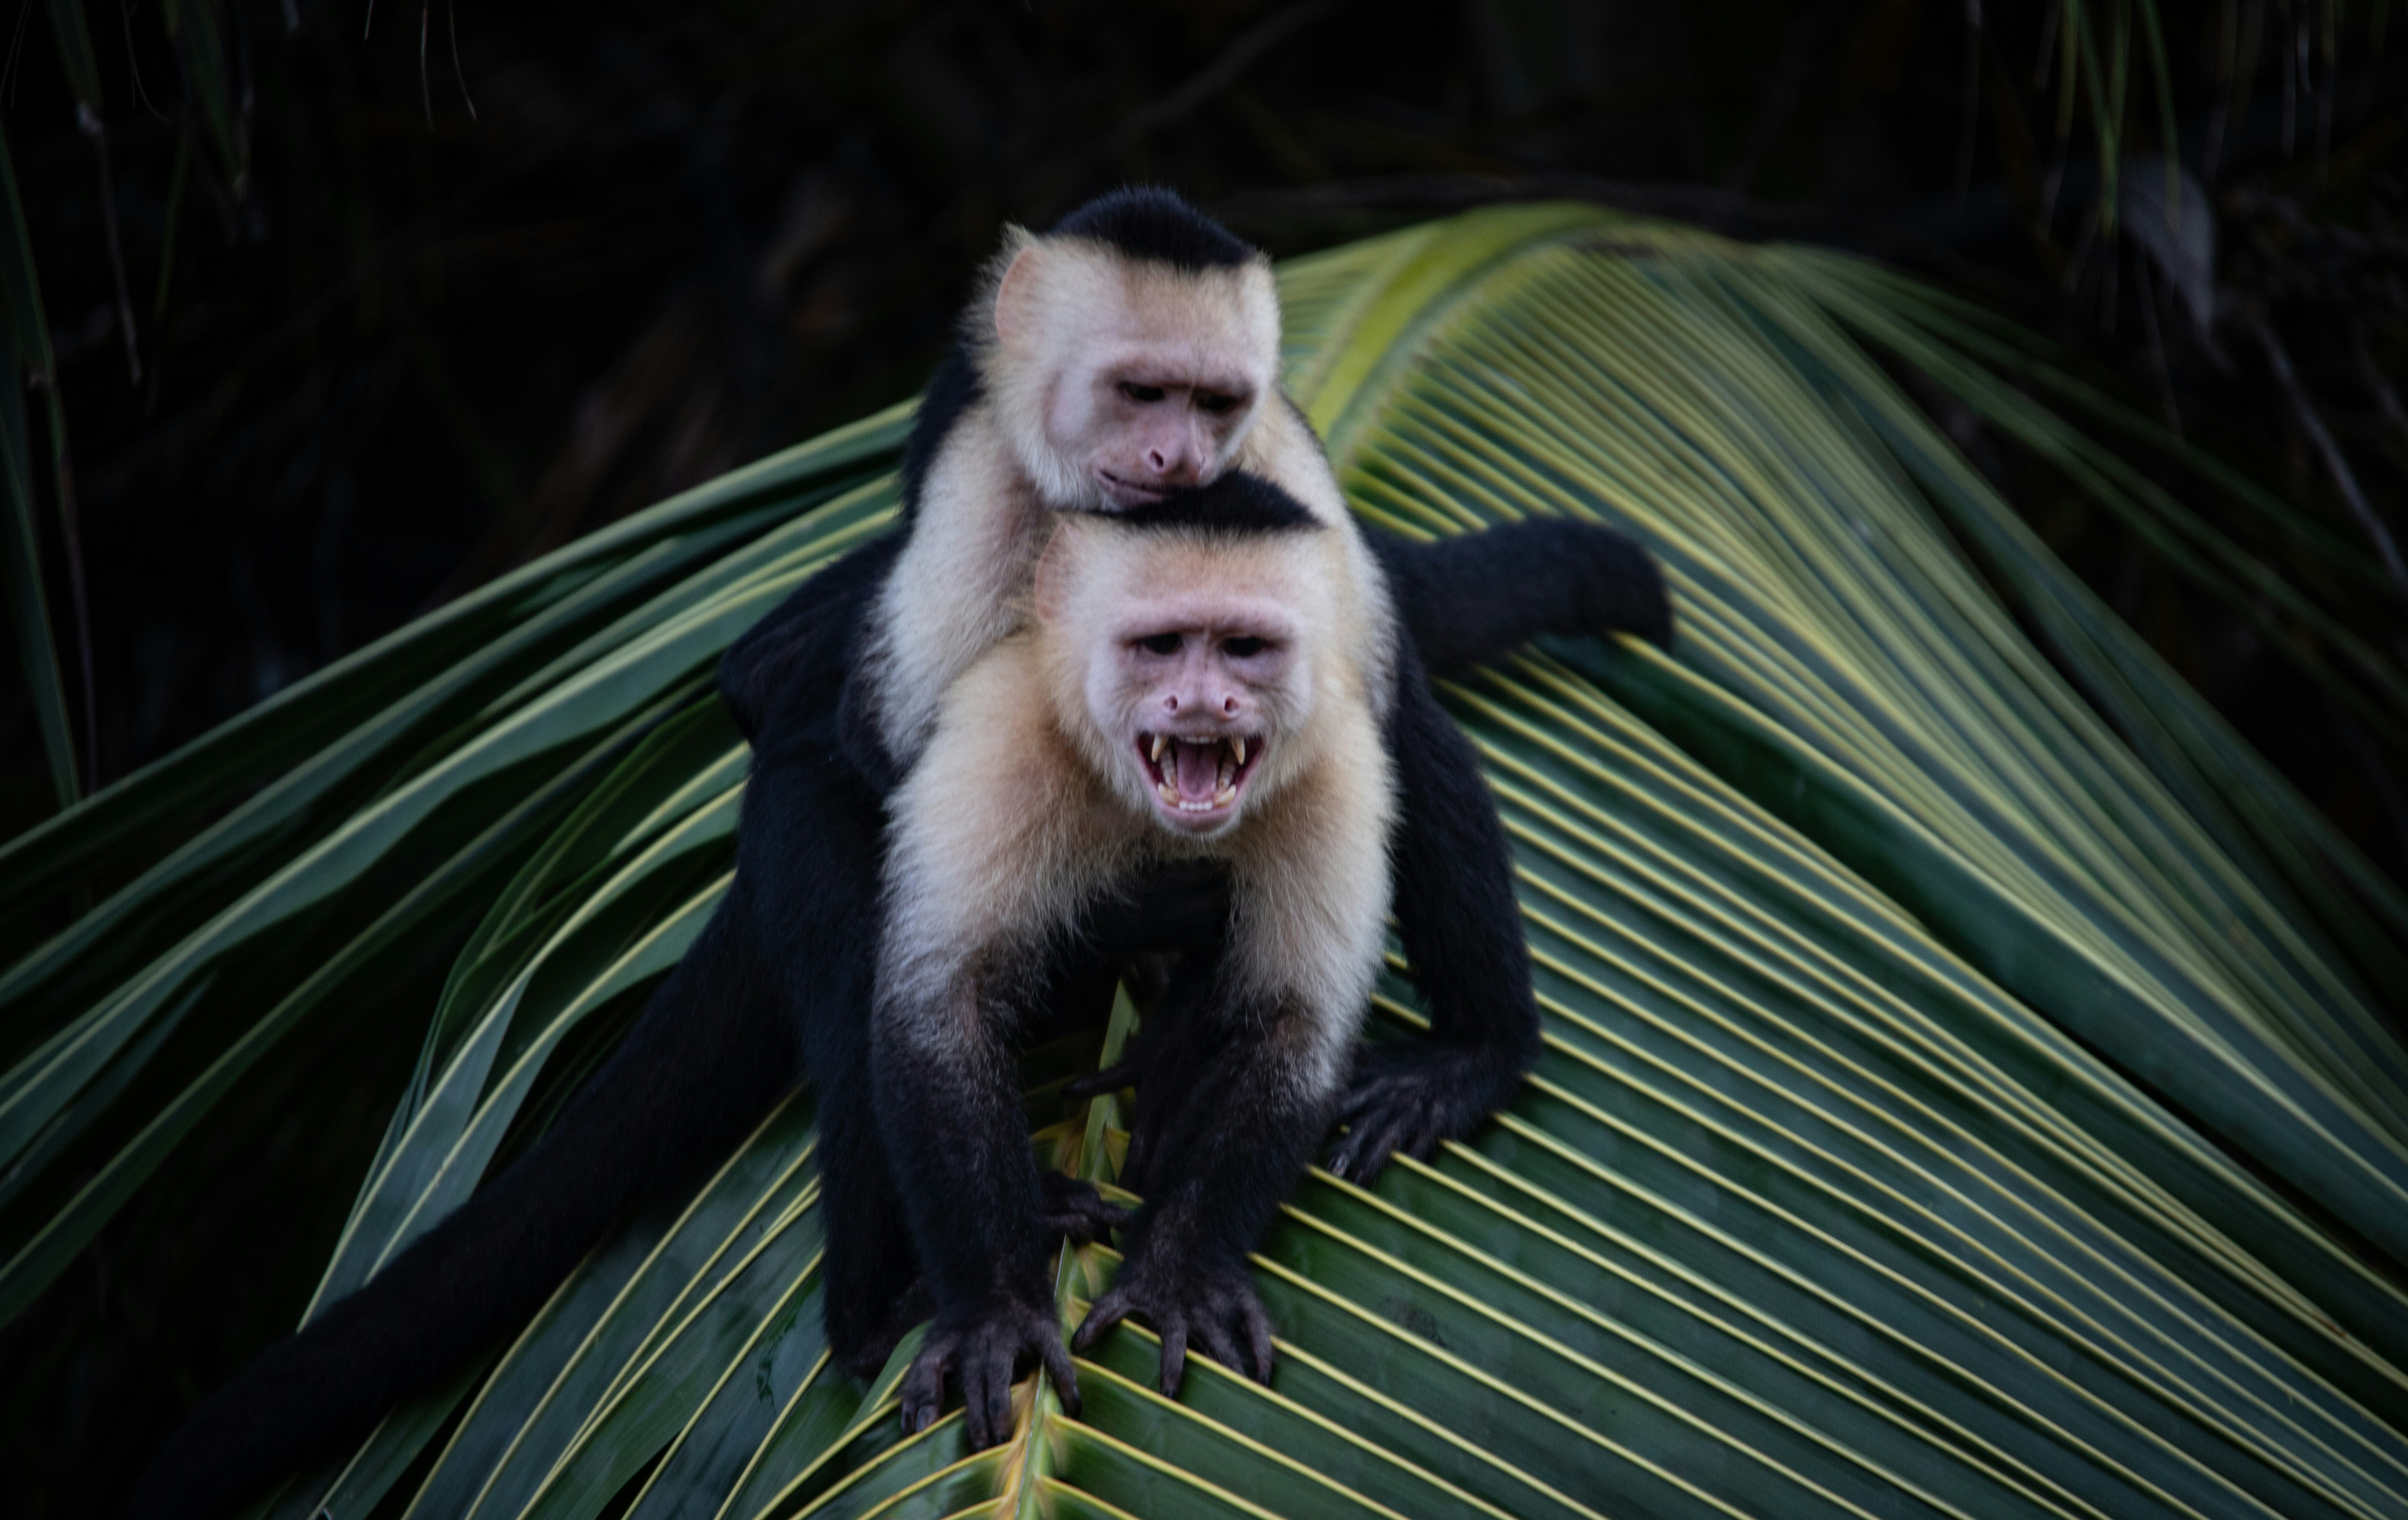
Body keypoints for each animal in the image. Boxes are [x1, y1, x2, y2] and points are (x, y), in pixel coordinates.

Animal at [122, 188, 1672, 1520]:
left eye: (1212, 402)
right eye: (1139, 394)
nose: (1175, 465)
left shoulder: (1279, 479)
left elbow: (1327, 872)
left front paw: (1185, 1175)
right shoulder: (988, 485)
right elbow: (899, 830)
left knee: (1404, 717)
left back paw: (1470, 1052)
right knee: (831, 837)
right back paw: (893, 1286)